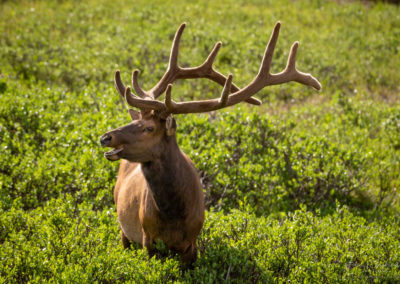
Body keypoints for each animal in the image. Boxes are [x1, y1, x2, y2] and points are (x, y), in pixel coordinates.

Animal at [101, 21, 322, 264]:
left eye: (148, 128)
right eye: (136, 120)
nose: (106, 137)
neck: (174, 215)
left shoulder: (191, 245)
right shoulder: (147, 239)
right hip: (123, 228)